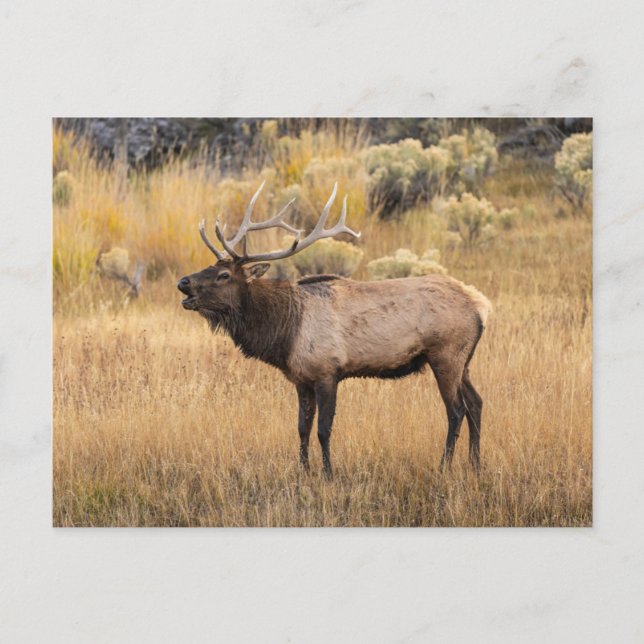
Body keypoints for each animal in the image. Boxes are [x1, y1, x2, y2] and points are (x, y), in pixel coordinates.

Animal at [177, 182, 491, 477]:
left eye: (224, 275)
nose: (183, 282)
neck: (285, 333)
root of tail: (481, 305)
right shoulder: (301, 378)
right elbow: (302, 428)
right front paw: (303, 470)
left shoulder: (327, 371)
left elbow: (323, 429)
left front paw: (328, 473)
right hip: (463, 360)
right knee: (476, 403)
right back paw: (475, 465)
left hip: (445, 354)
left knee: (457, 410)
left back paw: (444, 467)